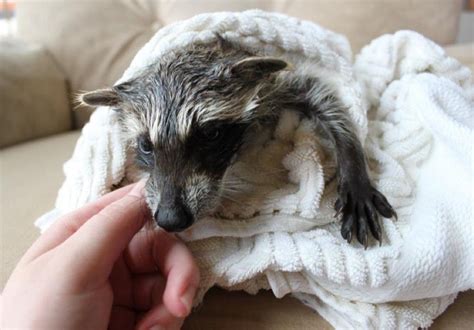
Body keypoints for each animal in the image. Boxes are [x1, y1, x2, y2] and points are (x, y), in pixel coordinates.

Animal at [80, 36, 396, 248]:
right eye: (146, 145)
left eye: (210, 135)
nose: (170, 219)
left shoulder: (277, 81)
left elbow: (326, 98)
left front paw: (353, 167)